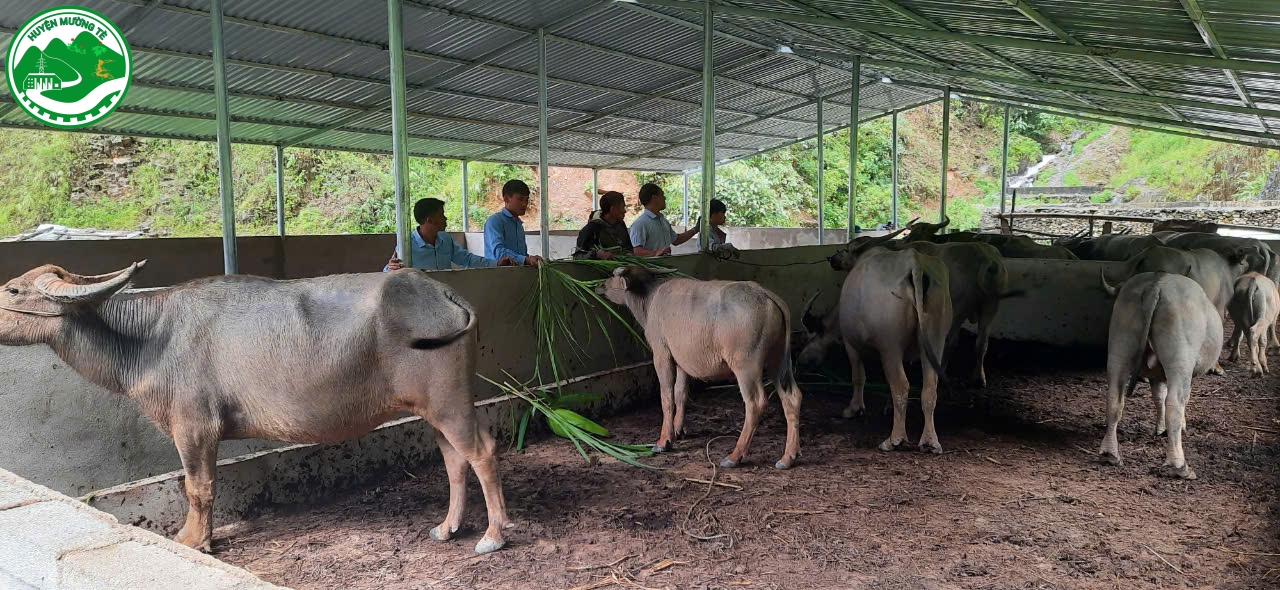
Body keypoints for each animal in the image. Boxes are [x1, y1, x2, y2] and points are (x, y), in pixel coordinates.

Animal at [0, 262, 509, 552]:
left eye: (13, 291)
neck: (149, 336)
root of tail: (444, 293)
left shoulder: (194, 427)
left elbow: (198, 487)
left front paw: (194, 540)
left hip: (450, 400)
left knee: (482, 452)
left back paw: (493, 536)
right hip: (433, 408)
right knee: (454, 460)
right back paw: (447, 528)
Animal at [596, 266, 798, 468]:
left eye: (613, 276)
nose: (599, 286)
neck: (650, 298)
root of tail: (765, 294)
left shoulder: (662, 354)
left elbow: (667, 396)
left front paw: (663, 441)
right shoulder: (682, 361)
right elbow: (680, 393)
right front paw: (678, 430)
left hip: (746, 365)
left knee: (755, 403)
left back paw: (734, 456)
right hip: (777, 360)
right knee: (792, 398)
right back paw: (788, 457)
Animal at [798, 243, 952, 450]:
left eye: (808, 338)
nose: (800, 360)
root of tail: (915, 264)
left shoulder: (850, 344)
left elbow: (858, 376)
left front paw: (853, 409)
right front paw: (888, 407)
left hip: (890, 346)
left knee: (901, 385)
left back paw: (894, 439)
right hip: (935, 341)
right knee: (929, 388)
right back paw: (929, 441)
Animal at [1095, 271, 1223, 478]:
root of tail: (1157, 282)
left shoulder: (1156, 376)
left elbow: (1158, 397)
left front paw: (1161, 428)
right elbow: (1176, 399)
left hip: (1119, 347)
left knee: (1114, 398)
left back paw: (1110, 454)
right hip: (1180, 358)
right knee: (1175, 403)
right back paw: (1178, 465)